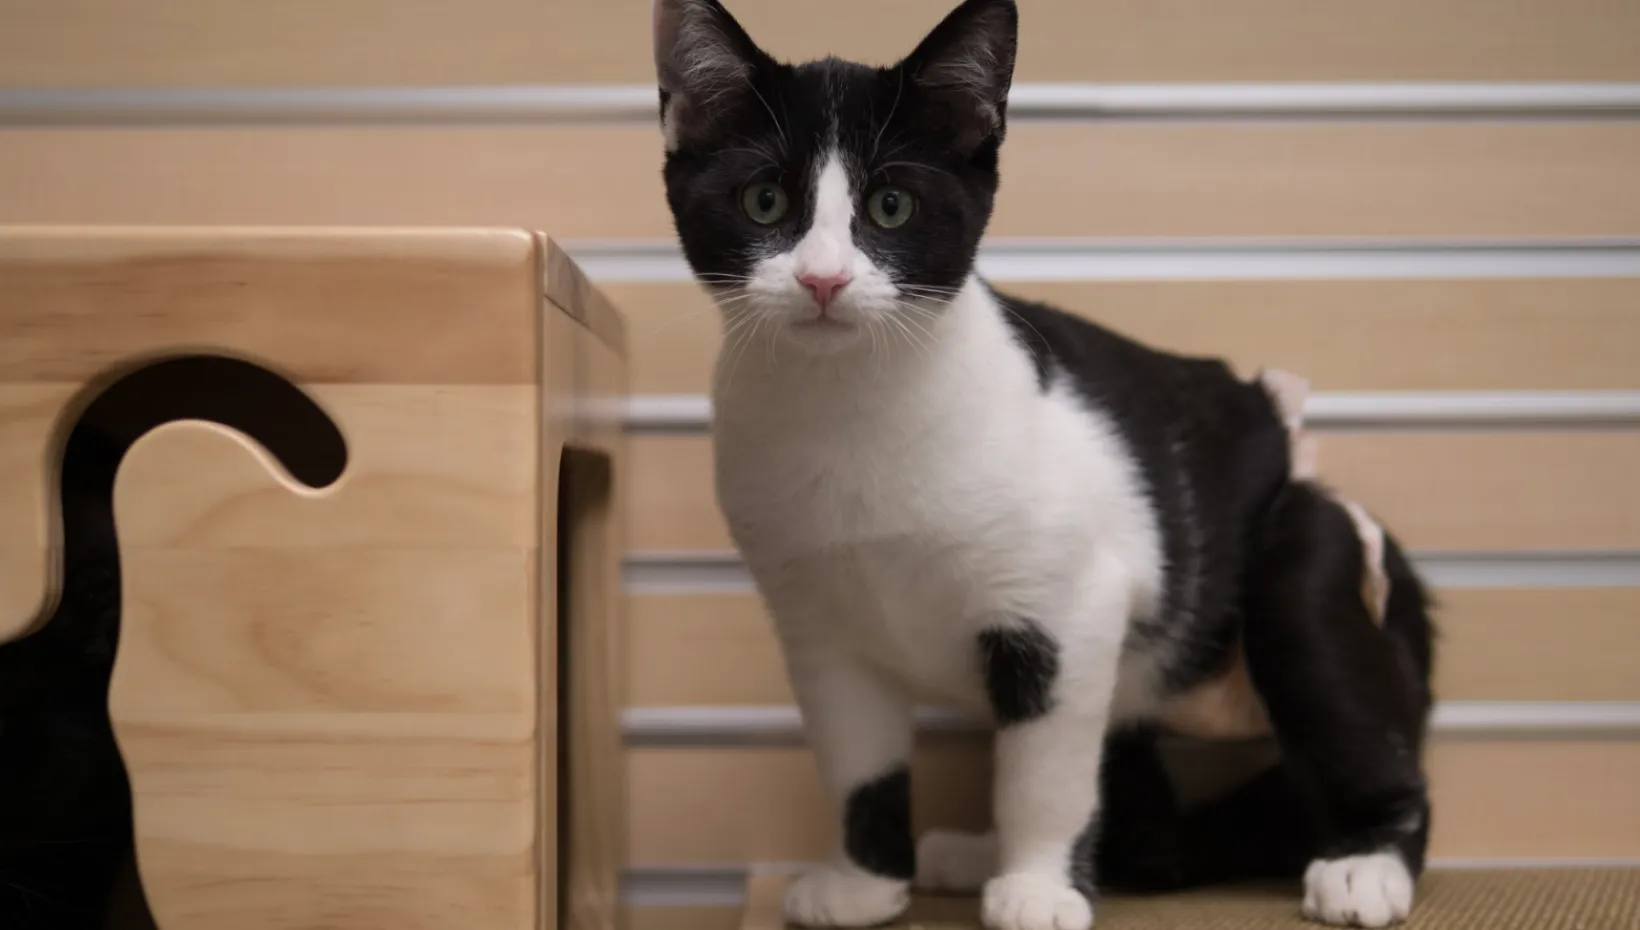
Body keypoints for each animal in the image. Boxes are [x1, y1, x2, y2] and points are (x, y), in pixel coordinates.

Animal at [652, 1, 1436, 930]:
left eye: (891, 206)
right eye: (764, 199)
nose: (823, 280)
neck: (849, 410)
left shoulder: (1071, 604)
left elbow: (1045, 772)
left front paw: (1035, 887)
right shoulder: (820, 635)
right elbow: (859, 762)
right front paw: (866, 881)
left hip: (1303, 552)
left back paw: (1369, 858)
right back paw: (982, 852)